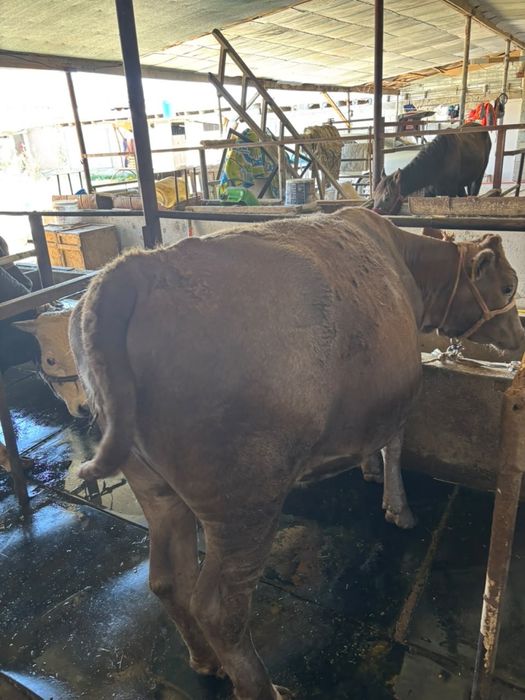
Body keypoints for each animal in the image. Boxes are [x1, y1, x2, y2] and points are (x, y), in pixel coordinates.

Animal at [21, 209, 525, 699]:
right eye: (508, 286)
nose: (519, 335)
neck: (410, 266)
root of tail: (128, 271)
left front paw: (367, 470)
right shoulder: (401, 388)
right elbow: (395, 442)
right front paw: (397, 508)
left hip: (153, 483)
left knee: (168, 578)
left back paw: (205, 662)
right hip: (244, 499)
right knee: (219, 607)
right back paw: (263, 688)